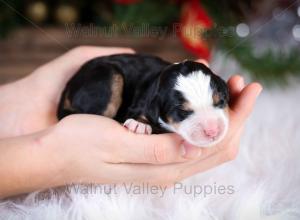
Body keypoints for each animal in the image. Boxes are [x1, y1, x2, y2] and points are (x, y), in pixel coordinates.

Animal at [56, 53, 230, 147]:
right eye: (182, 111)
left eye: (220, 101)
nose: (213, 131)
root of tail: (69, 84)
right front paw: (139, 124)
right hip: (108, 76)